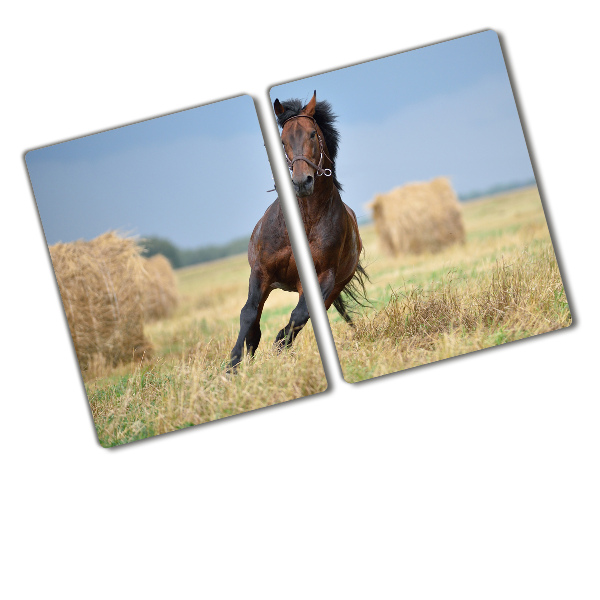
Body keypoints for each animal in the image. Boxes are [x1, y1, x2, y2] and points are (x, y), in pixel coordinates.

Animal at [229, 91, 366, 368]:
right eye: (282, 141)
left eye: (312, 134)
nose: (302, 183)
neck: (306, 219)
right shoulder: (261, 271)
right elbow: (248, 314)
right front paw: (233, 366)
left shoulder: (322, 278)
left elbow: (298, 317)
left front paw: (277, 349)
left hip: (331, 289)